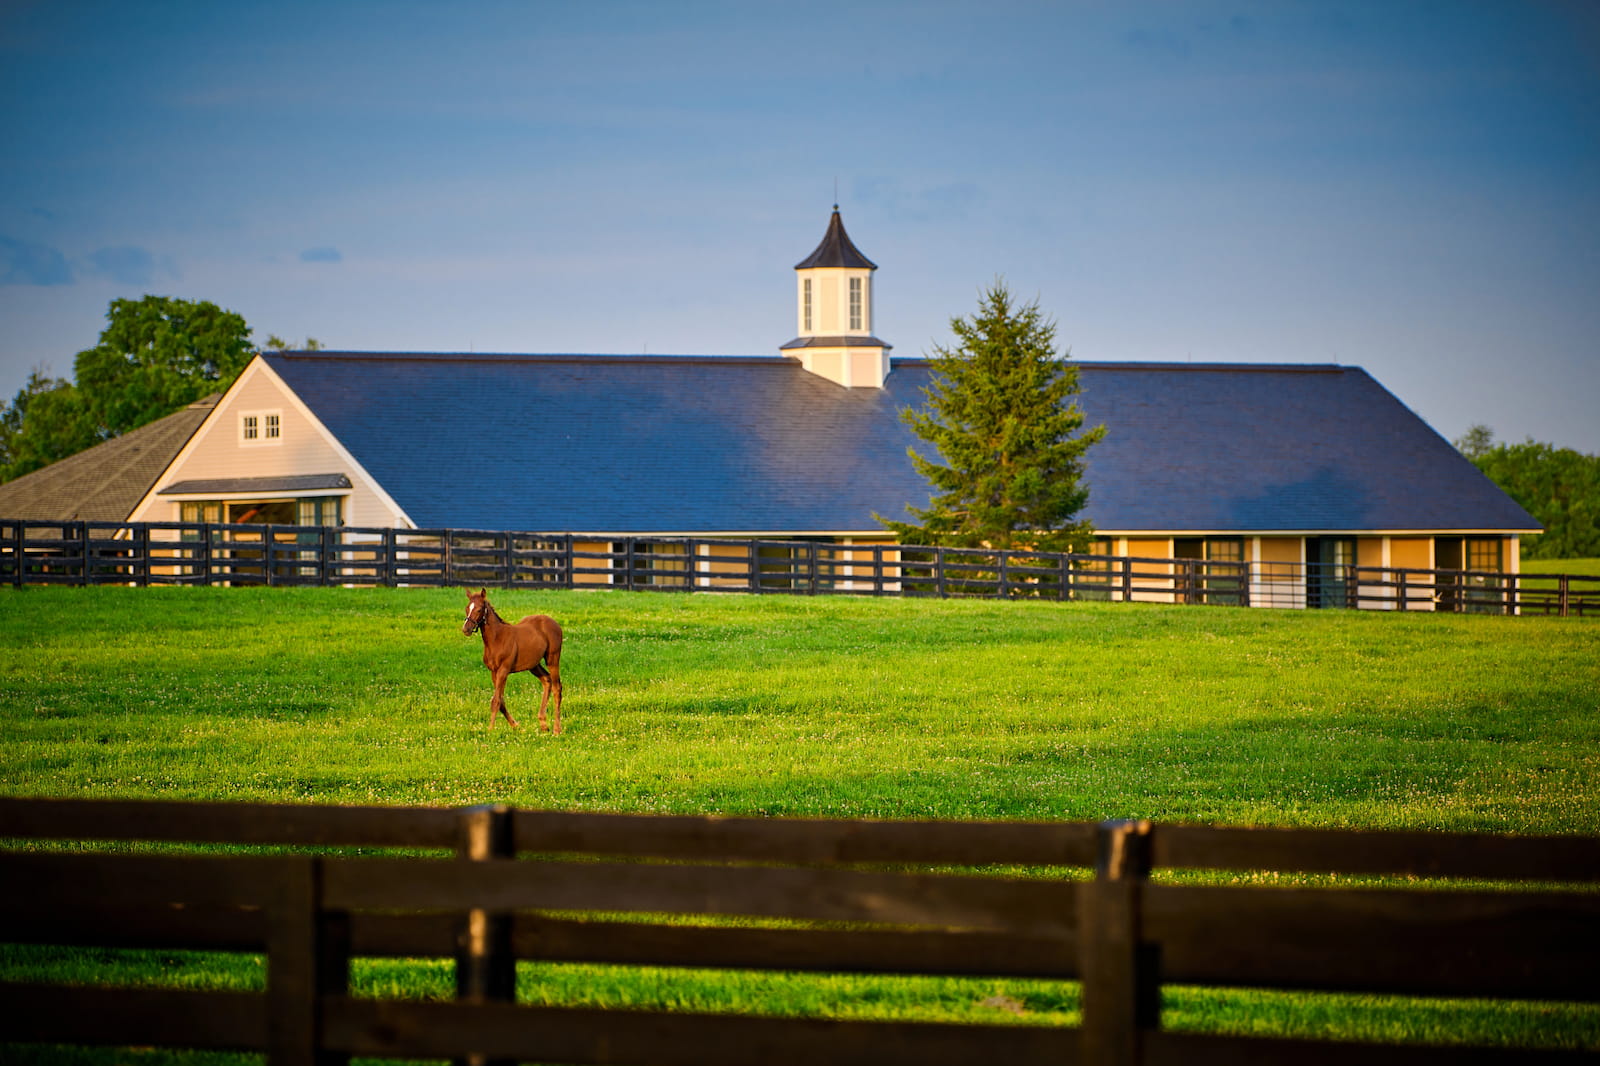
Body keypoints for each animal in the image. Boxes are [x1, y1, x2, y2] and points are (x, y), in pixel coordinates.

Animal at [462, 588, 563, 733]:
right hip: (533, 664)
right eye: (467, 608)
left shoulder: (504, 670)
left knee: (557, 688)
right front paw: (516, 726)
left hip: (552, 659)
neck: (497, 639)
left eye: (480, 609)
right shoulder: (494, 672)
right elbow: (501, 701)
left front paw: (490, 730)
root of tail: (554, 623)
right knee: (547, 680)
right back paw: (543, 724)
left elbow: (495, 701)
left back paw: (557, 729)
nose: (466, 629)